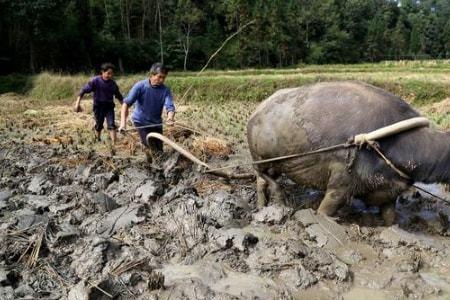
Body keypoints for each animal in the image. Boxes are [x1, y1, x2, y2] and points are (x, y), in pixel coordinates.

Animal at [246, 81, 450, 224]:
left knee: (263, 181)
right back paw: (277, 198)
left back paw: (263, 204)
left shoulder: (389, 193)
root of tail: (256, 111)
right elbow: (324, 211)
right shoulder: (340, 184)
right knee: (262, 177)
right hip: (260, 158)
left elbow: (390, 217)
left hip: (278, 163)